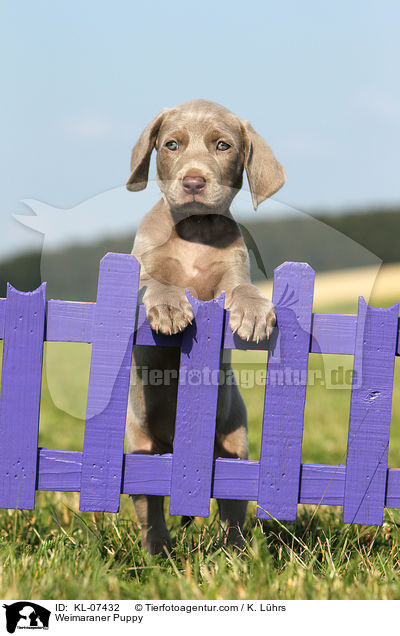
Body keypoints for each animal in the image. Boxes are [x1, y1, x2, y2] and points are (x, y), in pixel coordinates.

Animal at [125, 98, 284, 552]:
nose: (194, 181)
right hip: (139, 450)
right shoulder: (139, 274)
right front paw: (169, 308)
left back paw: (235, 553)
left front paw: (253, 312)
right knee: (150, 507)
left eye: (223, 146)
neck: (194, 230)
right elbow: (154, 284)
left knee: (232, 504)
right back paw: (157, 550)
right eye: (172, 145)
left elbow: (242, 288)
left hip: (235, 444)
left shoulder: (233, 272)